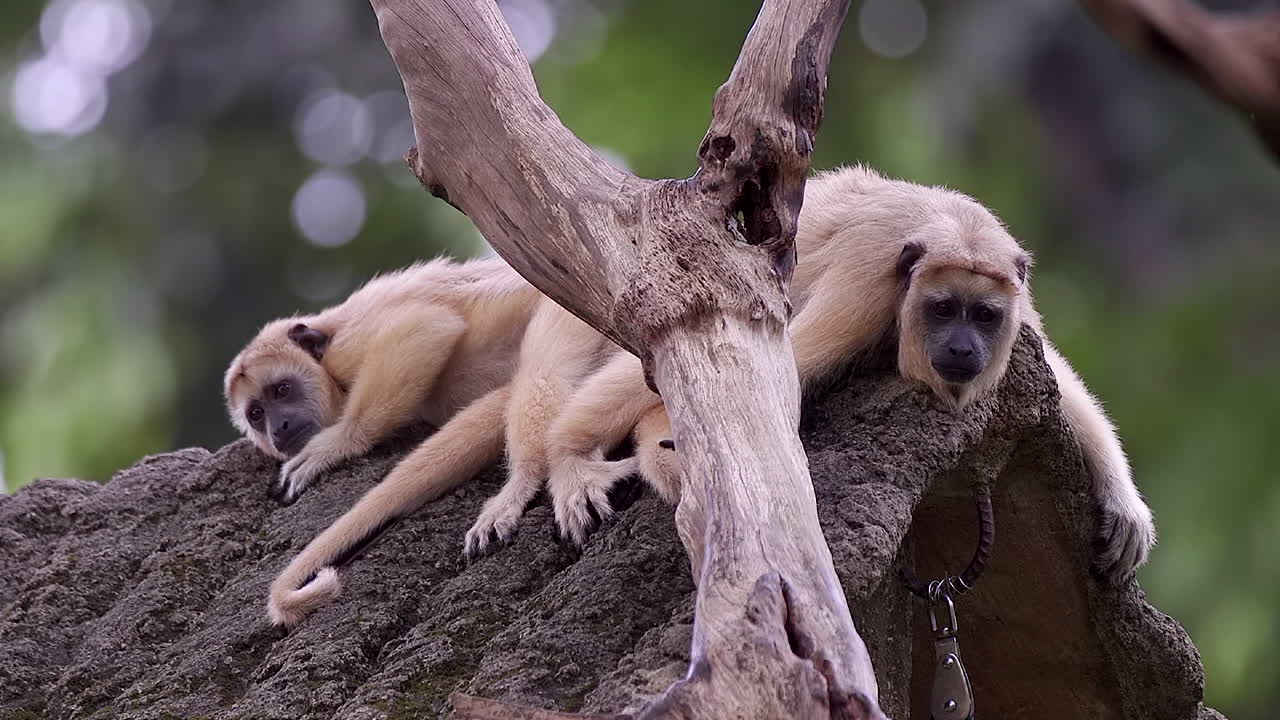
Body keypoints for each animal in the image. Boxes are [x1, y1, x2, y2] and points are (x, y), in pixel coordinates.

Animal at [527, 165, 1155, 584]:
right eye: (943, 309)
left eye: (984, 315)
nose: (962, 347)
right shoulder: (866, 283)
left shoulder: (1018, 305)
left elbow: (1063, 386)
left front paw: (1125, 505)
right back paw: (568, 455)